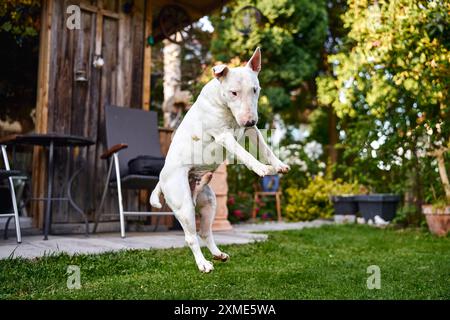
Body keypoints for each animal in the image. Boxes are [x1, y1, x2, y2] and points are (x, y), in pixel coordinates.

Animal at [151, 48, 290, 272]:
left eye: (255, 89)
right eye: (234, 92)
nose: (249, 120)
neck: (223, 104)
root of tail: (161, 179)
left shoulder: (252, 131)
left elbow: (266, 149)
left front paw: (279, 165)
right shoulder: (224, 136)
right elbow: (246, 155)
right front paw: (262, 169)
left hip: (209, 202)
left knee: (205, 232)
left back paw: (218, 254)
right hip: (184, 206)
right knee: (191, 237)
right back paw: (203, 264)